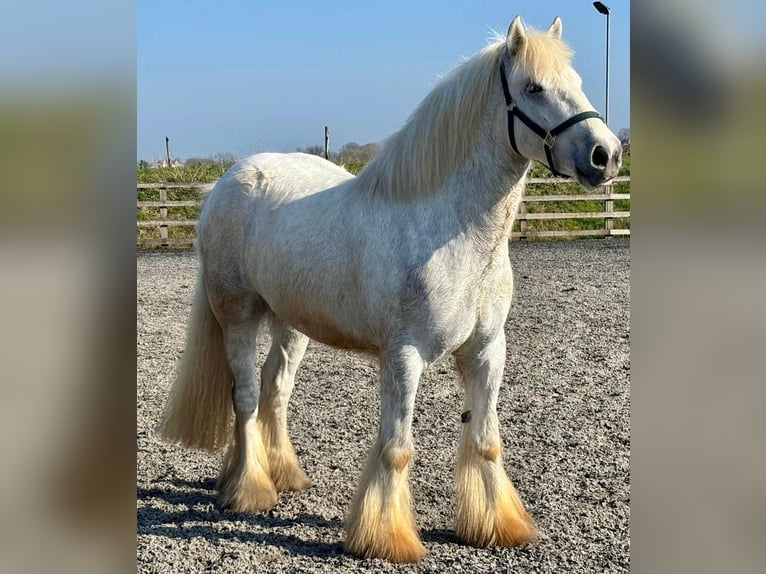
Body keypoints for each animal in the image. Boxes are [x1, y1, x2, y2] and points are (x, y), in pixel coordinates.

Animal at [158, 16, 622, 563]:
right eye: (533, 87)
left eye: (578, 82)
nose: (606, 155)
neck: (453, 232)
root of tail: (226, 182)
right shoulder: (404, 355)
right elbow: (397, 448)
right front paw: (386, 538)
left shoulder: (488, 350)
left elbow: (486, 440)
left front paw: (496, 526)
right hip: (238, 313)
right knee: (247, 394)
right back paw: (250, 490)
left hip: (292, 323)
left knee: (276, 389)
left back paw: (285, 475)